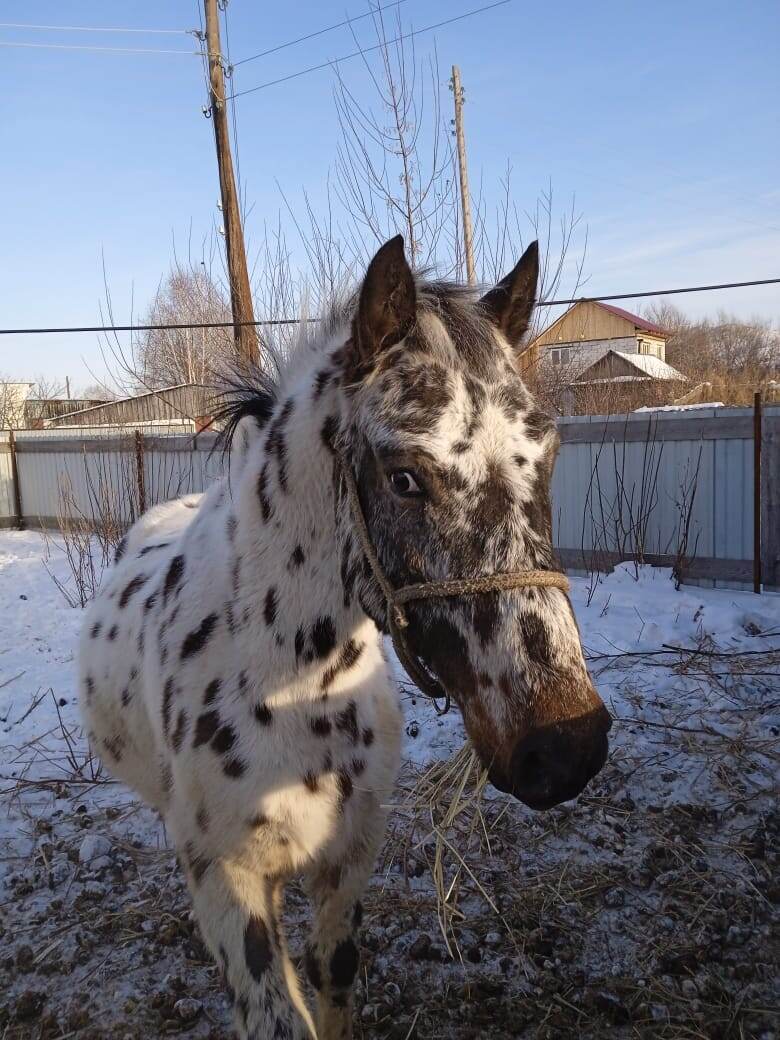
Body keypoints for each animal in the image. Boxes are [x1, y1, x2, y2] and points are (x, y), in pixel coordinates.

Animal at [82, 238, 615, 1040]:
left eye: (548, 452)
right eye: (403, 478)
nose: (564, 746)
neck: (293, 687)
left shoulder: (349, 856)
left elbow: (334, 976)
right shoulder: (231, 884)